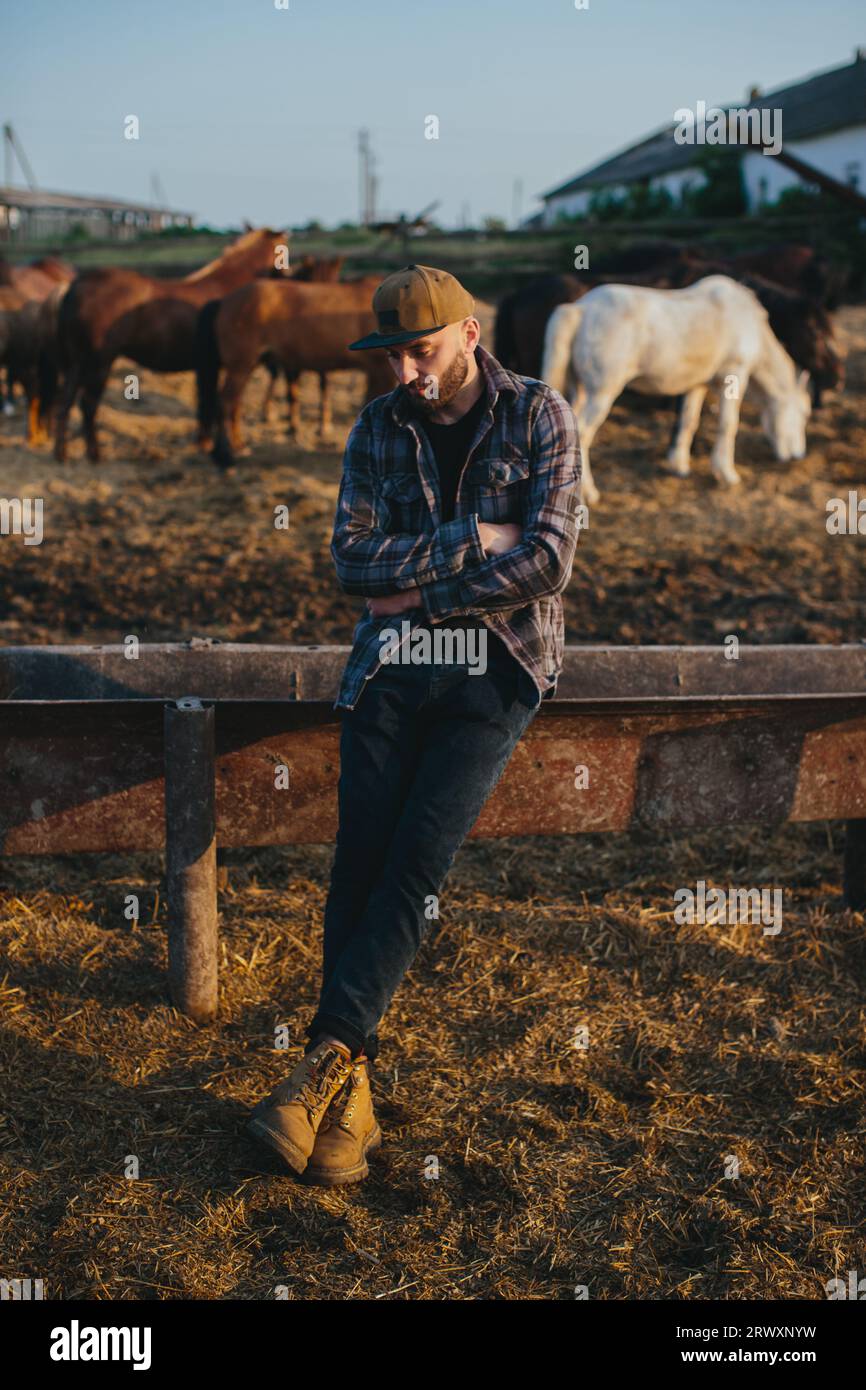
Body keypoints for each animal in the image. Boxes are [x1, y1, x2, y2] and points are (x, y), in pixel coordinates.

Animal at [53, 227, 284, 461]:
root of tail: (78, 285)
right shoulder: (233, 366)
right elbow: (229, 404)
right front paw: (236, 445)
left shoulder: (208, 366)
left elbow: (207, 402)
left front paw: (205, 443)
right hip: (99, 362)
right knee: (88, 405)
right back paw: (95, 454)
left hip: (76, 363)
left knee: (64, 402)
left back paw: (62, 453)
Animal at [195, 273, 389, 469]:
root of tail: (224, 301)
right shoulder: (380, 370)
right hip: (239, 367)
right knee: (225, 403)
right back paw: (224, 456)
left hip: (246, 367)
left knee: (234, 403)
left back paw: (238, 447)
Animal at [542, 273, 811, 508]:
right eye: (804, 414)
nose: (798, 455)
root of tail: (580, 309)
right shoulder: (734, 374)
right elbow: (728, 424)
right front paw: (726, 474)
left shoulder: (698, 384)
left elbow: (689, 421)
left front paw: (680, 465)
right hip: (602, 393)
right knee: (582, 433)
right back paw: (588, 493)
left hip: (579, 391)